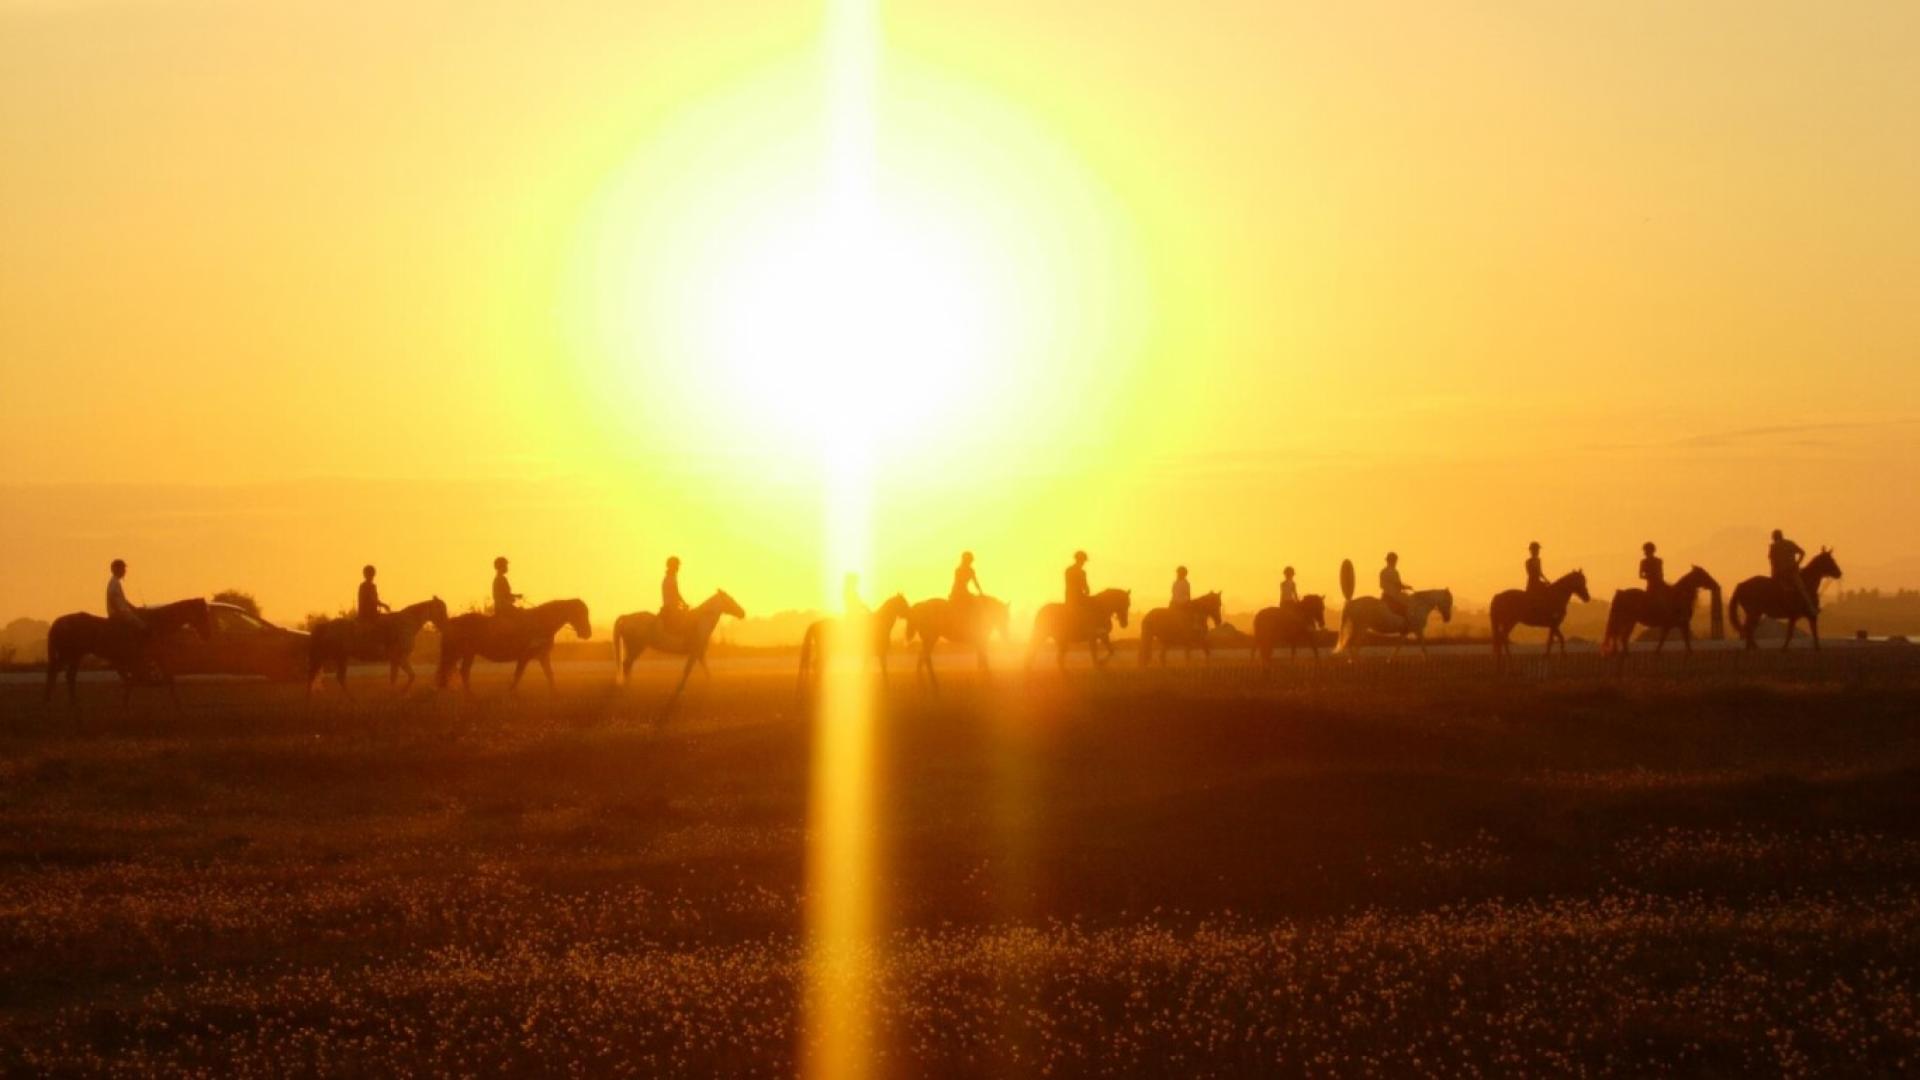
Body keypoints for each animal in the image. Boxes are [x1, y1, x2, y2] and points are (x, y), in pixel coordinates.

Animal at [43, 595, 212, 707]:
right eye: (203, 615)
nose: (207, 635)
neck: (155, 624)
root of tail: (58, 622)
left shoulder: (152, 658)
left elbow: (165, 678)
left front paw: (178, 705)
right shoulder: (144, 659)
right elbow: (135, 679)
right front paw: (125, 705)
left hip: (75, 656)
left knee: (67, 675)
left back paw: (69, 702)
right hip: (69, 655)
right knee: (56, 673)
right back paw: (54, 701)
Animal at [311, 595, 453, 687]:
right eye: (441, 610)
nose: (446, 626)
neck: (406, 624)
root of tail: (326, 626)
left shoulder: (396, 660)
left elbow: (400, 678)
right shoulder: (399, 658)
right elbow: (405, 677)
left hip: (339, 657)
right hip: (335, 656)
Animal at [437, 595, 591, 687]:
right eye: (580, 613)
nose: (587, 633)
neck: (539, 622)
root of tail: (452, 622)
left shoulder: (543, 656)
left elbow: (550, 676)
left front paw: (556, 697)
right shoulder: (524, 657)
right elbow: (517, 676)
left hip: (467, 654)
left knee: (460, 672)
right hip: (463, 653)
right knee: (458, 673)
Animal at [610, 584, 744, 703]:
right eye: (730, 599)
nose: (742, 613)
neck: (701, 621)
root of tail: (627, 617)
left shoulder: (699, 653)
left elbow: (705, 670)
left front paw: (710, 685)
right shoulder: (695, 653)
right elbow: (688, 671)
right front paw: (680, 690)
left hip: (632, 648)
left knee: (628, 665)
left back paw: (628, 686)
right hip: (636, 647)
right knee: (627, 664)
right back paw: (628, 688)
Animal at [1589, 557, 1728, 661]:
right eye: (1704, 574)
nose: (1715, 585)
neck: (1679, 596)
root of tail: (1621, 592)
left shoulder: (1675, 624)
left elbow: (1671, 639)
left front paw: (1659, 653)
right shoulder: (1680, 623)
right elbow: (1678, 639)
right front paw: (1687, 653)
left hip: (1627, 621)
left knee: (1620, 636)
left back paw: (1622, 654)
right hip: (1627, 620)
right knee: (1620, 636)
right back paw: (1623, 654)